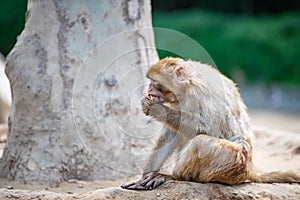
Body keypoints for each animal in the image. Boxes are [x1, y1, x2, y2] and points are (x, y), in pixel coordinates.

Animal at [120, 57, 298, 190]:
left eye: (156, 83)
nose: (149, 90)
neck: (187, 82)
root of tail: (250, 169)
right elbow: (172, 134)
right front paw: (143, 177)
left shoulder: (197, 92)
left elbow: (201, 128)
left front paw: (155, 108)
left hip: (233, 162)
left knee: (201, 142)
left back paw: (173, 177)